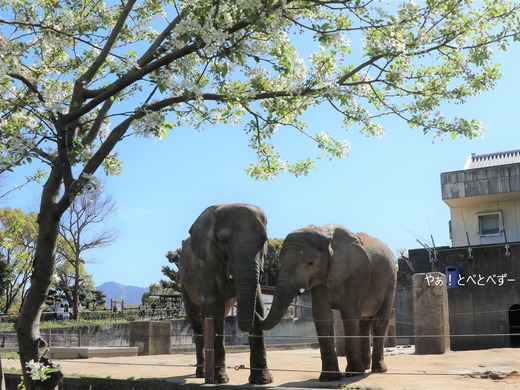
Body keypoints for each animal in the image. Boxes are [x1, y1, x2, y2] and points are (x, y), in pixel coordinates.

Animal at [179, 203, 274, 386]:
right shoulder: (206, 262)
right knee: (197, 323)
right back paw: (202, 374)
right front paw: (220, 380)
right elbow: (214, 306)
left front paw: (263, 381)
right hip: (184, 284)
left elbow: (257, 304)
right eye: (223, 241)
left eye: (264, 241)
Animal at [260, 225, 398, 380]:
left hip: (390, 283)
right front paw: (329, 378)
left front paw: (352, 373)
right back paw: (366, 366)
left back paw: (377, 369)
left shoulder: (357, 273)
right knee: (363, 322)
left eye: (311, 263)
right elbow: (321, 315)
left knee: (379, 320)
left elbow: (349, 312)